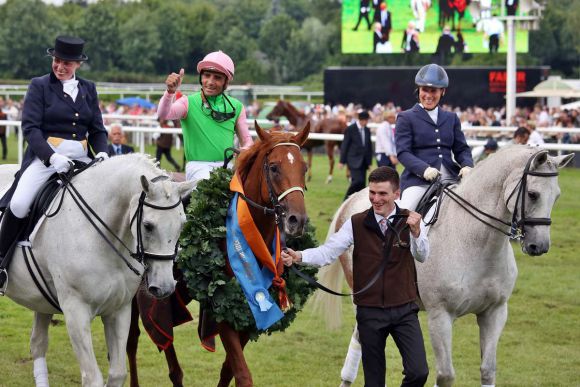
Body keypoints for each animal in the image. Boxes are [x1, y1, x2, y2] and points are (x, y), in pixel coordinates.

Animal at [0, 155, 196, 387]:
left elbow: (118, 373)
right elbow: (92, 378)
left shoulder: (119, 311)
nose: (165, 287)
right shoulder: (76, 312)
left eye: (182, 224)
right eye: (148, 226)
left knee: (38, 344)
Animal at [125, 123, 310, 386]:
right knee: (134, 340)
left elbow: (229, 369)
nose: (298, 220)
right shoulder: (222, 308)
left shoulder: (251, 312)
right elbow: (242, 374)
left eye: (304, 168)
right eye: (274, 167)